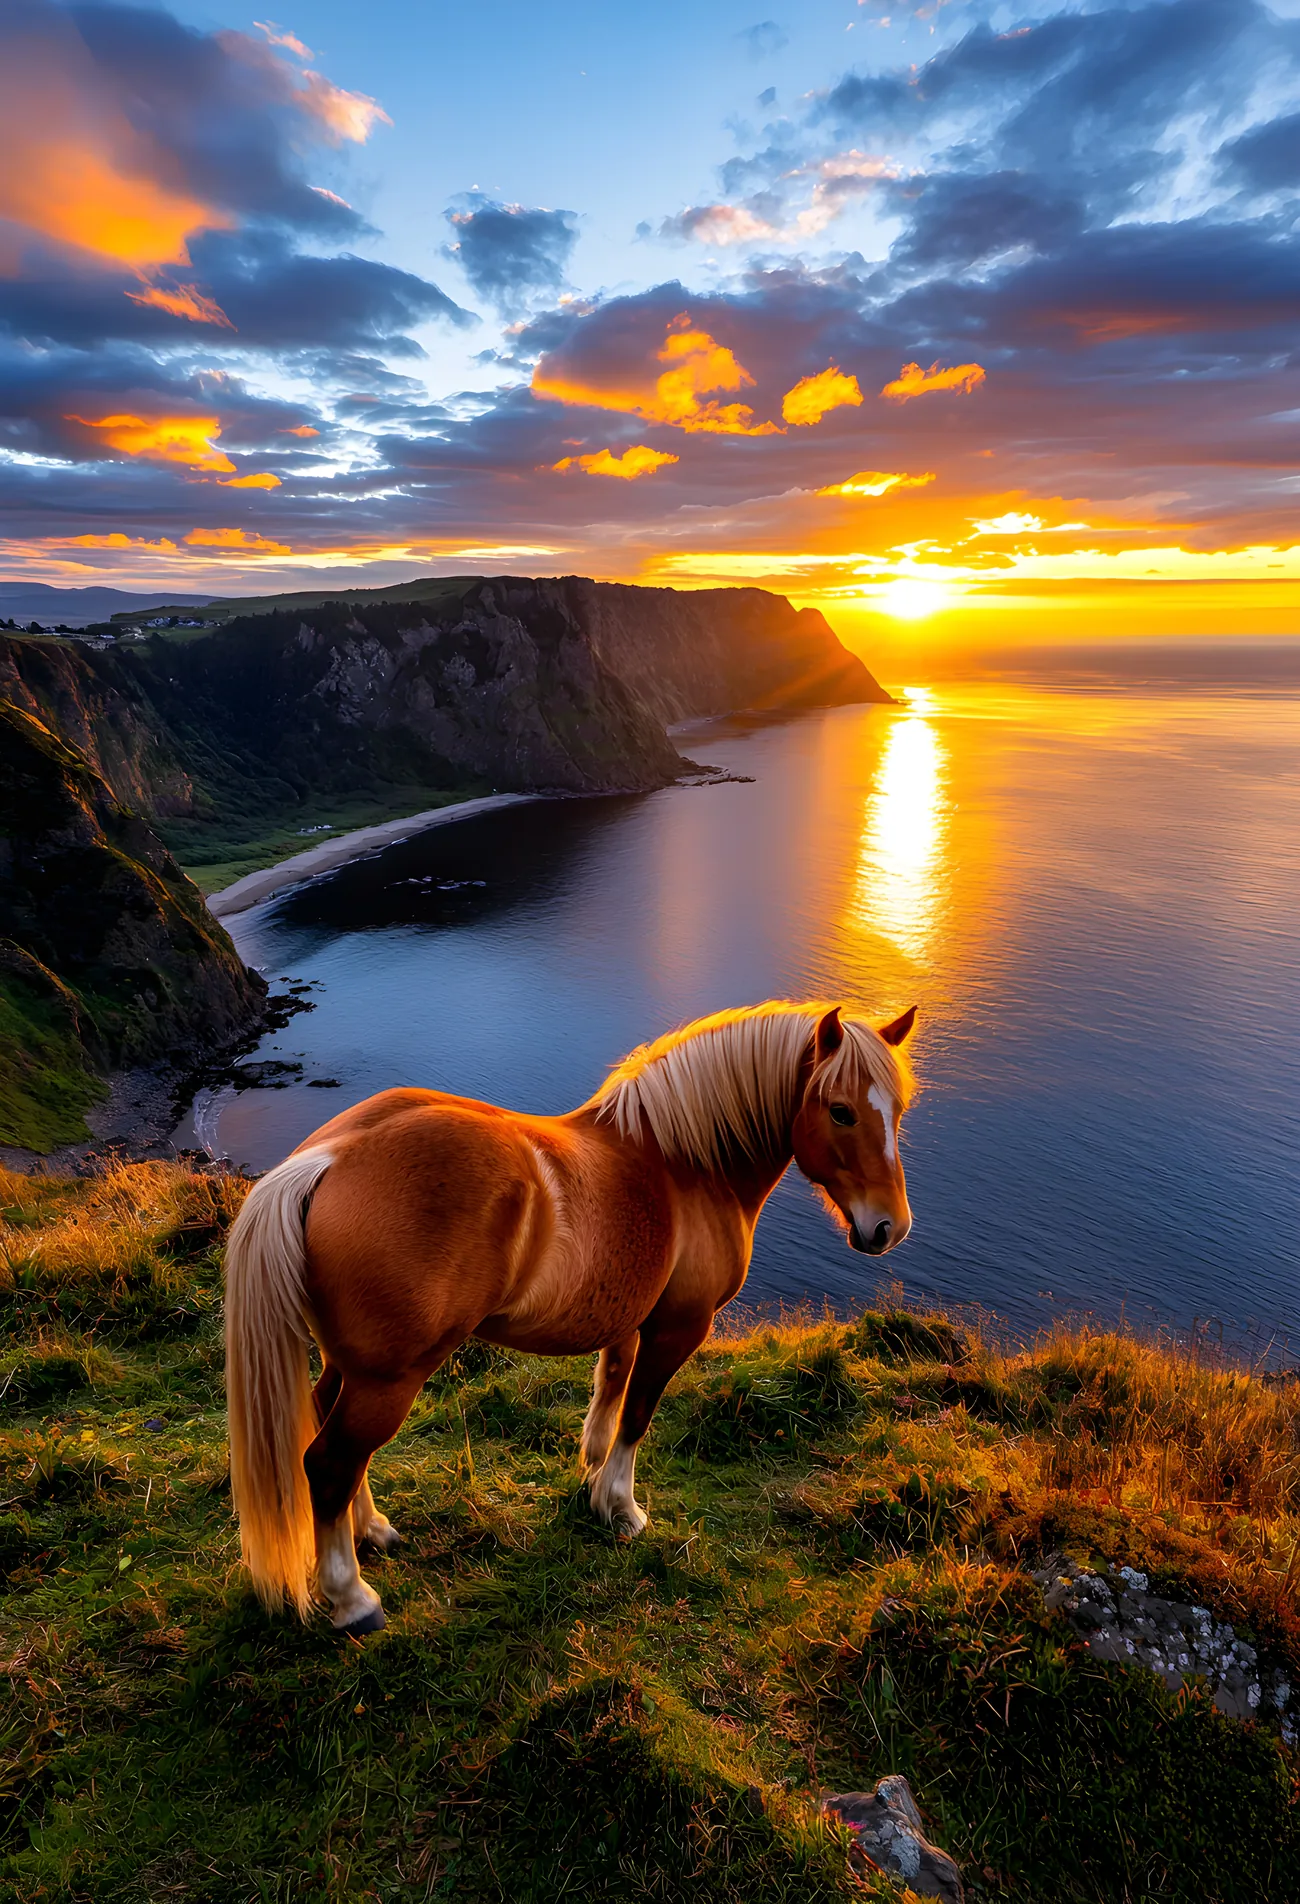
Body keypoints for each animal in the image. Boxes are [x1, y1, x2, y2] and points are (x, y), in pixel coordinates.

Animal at [223, 998, 917, 1634]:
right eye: (841, 1110)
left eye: (899, 1110)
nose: (890, 1227)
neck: (682, 1165)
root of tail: (330, 1158)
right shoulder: (678, 1328)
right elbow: (637, 1415)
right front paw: (622, 1507)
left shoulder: (628, 1322)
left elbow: (610, 1394)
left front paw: (590, 1479)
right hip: (388, 1379)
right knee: (329, 1464)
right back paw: (352, 1598)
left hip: (352, 1367)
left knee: (328, 1430)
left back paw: (372, 1529)